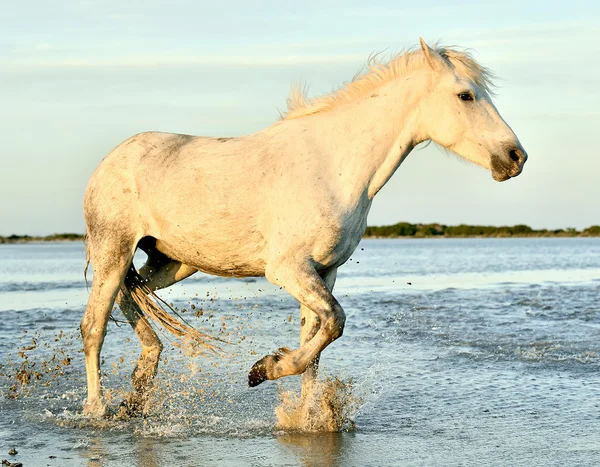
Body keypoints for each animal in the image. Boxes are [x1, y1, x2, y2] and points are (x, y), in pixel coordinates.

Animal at [82, 38, 528, 414]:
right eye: (466, 95)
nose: (516, 157)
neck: (335, 166)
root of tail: (109, 162)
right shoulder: (288, 270)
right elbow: (334, 323)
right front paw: (264, 370)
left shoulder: (323, 272)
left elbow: (316, 343)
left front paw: (309, 416)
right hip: (114, 251)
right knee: (93, 326)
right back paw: (98, 409)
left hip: (170, 263)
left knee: (130, 298)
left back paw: (140, 386)